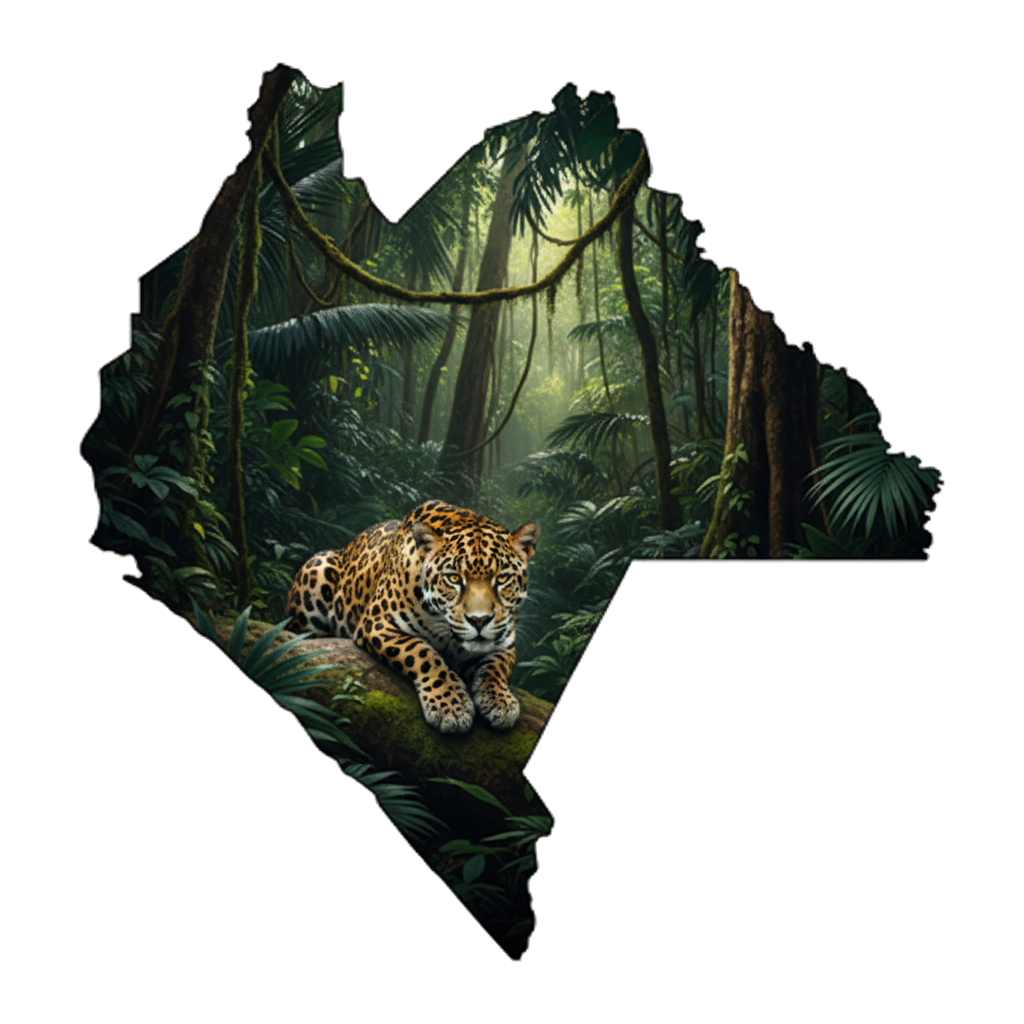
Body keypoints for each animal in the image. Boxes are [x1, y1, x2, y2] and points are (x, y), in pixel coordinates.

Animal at [285, 500, 540, 734]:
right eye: (454, 578)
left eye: (503, 578)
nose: (479, 620)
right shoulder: (378, 623)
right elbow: (421, 653)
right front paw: (451, 706)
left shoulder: (505, 640)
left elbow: (497, 667)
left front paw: (501, 702)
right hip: (317, 567)